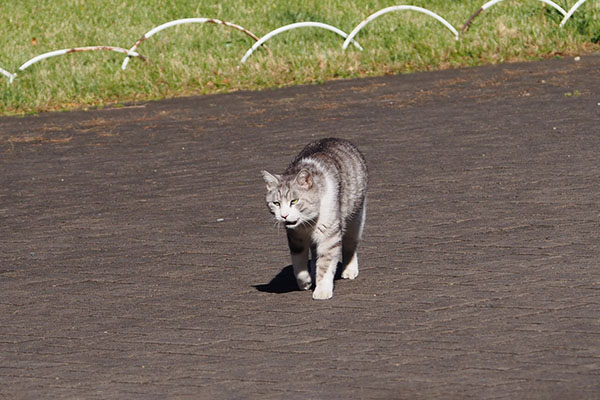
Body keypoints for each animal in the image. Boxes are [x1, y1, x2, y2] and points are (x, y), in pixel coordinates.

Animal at [262, 139, 368, 298]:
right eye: (276, 203)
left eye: (294, 201)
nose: (284, 215)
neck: (307, 223)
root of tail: (335, 139)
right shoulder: (295, 237)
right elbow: (298, 263)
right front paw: (305, 281)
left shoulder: (329, 235)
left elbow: (326, 263)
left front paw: (322, 290)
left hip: (356, 217)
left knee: (350, 244)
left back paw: (349, 269)